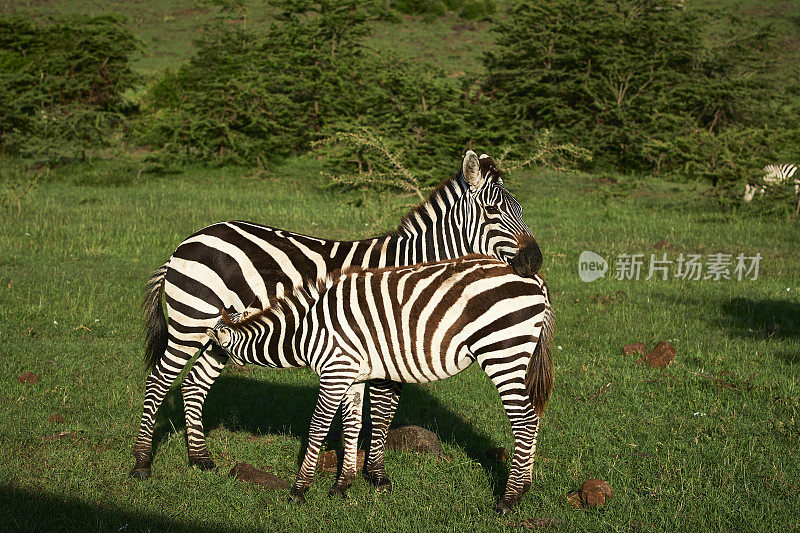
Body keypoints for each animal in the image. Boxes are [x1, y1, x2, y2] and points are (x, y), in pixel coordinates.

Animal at [133, 151, 544, 482]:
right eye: (492, 211)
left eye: (522, 211)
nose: (535, 261)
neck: (412, 265)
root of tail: (190, 240)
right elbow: (381, 409)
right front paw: (373, 475)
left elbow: (379, 411)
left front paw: (367, 472)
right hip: (190, 321)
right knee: (158, 381)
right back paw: (142, 463)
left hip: (221, 333)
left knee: (193, 383)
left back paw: (200, 459)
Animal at [209, 254, 552, 512]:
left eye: (210, 347)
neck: (305, 330)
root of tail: (535, 279)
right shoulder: (352, 374)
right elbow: (352, 424)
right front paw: (342, 484)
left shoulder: (335, 371)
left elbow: (318, 426)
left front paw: (299, 489)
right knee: (534, 417)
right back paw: (525, 487)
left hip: (502, 351)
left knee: (524, 421)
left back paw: (509, 499)